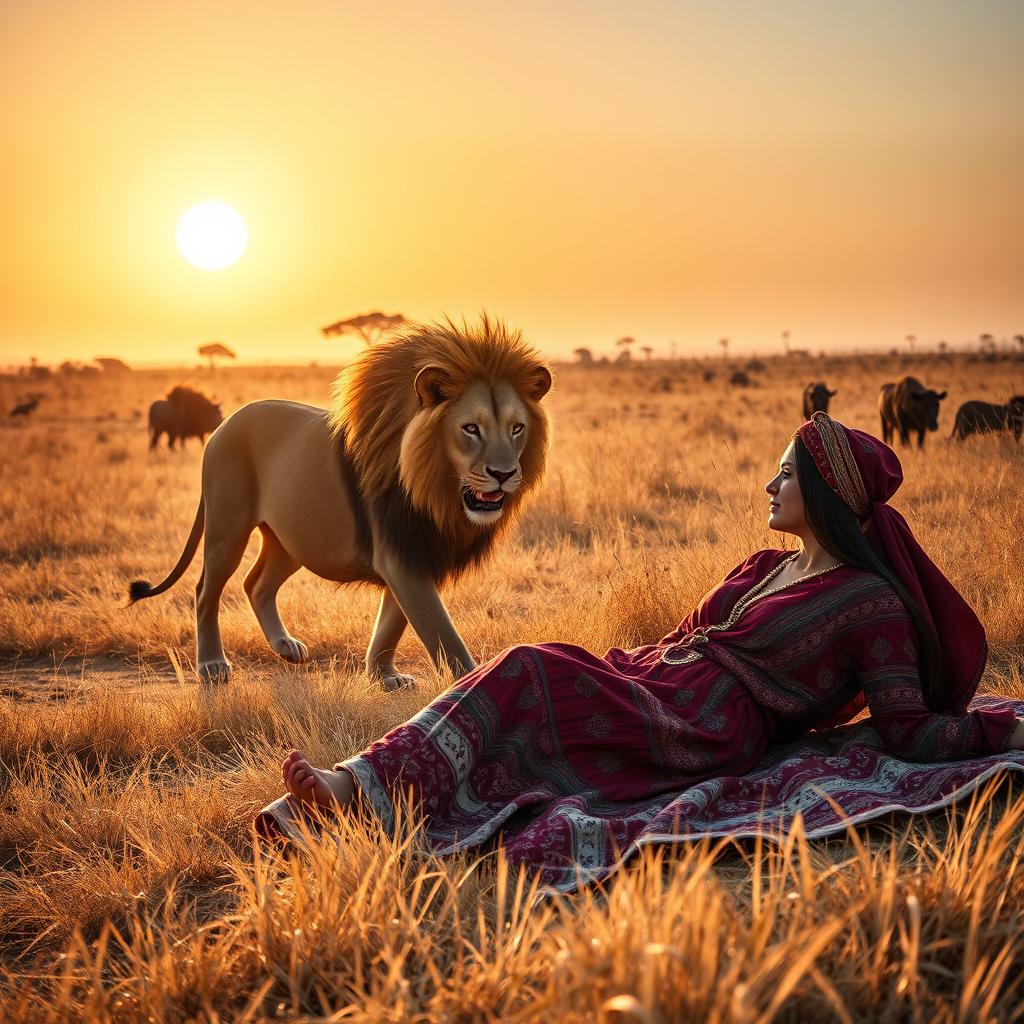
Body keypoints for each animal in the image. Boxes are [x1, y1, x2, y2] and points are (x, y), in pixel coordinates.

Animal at [127, 314, 553, 688]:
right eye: (471, 429)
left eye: (517, 428)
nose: (504, 473)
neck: (436, 493)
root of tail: (224, 424)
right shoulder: (400, 555)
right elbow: (443, 636)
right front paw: (474, 682)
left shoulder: (414, 552)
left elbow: (391, 624)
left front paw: (384, 676)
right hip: (228, 527)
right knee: (206, 590)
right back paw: (213, 665)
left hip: (294, 538)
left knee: (256, 583)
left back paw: (285, 647)